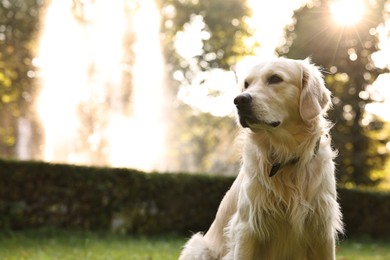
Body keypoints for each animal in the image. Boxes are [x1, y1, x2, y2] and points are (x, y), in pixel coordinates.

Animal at [180, 58, 344, 258]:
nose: (239, 100)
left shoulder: (322, 231)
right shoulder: (247, 228)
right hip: (199, 247)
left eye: (275, 79)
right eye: (246, 84)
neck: (285, 157)